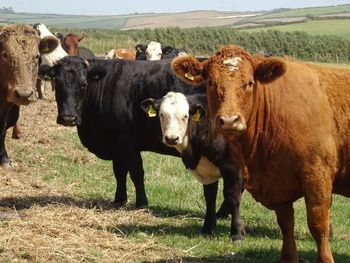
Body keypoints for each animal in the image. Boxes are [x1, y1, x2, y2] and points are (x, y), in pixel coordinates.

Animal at [139, 93, 243, 241]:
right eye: (162, 115)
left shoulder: (232, 166)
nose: (171, 138)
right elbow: (210, 197)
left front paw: (237, 233)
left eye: (185, 116)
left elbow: (233, 197)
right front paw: (207, 229)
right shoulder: (207, 171)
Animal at [171, 44, 350, 263]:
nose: (229, 121)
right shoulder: (278, 185)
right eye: (211, 82)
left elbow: (318, 226)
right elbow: (286, 225)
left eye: (249, 82)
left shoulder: (318, 176)